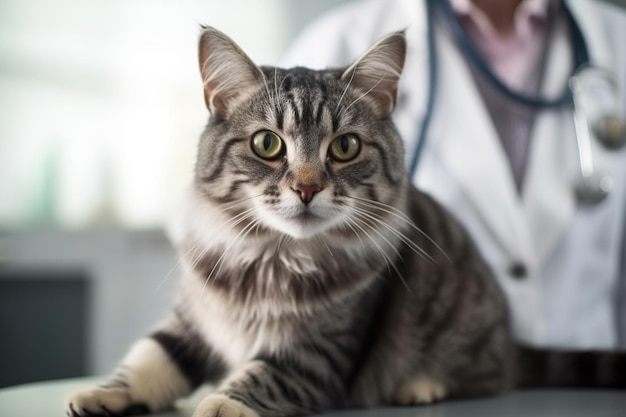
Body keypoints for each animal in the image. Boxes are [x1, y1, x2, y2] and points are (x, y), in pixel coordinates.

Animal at [66, 26, 620, 416]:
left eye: (346, 147)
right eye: (267, 143)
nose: (307, 188)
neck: (269, 261)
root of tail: (509, 336)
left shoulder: (318, 353)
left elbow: (259, 376)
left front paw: (220, 404)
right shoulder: (191, 324)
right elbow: (147, 359)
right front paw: (100, 393)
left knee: (482, 376)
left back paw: (420, 384)